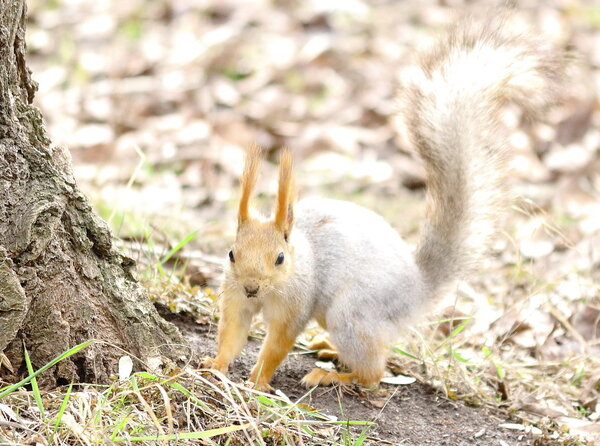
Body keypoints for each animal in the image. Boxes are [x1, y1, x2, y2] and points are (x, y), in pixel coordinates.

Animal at [204, 15, 560, 388]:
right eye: (231, 253)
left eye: (280, 258)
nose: (251, 287)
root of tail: (417, 290)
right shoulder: (234, 298)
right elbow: (232, 334)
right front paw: (215, 365)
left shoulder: (295, 305)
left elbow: (277, 345)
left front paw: (258, 381)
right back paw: (327, 349)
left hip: (351, 312)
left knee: (374, 375)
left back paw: (330, 375)